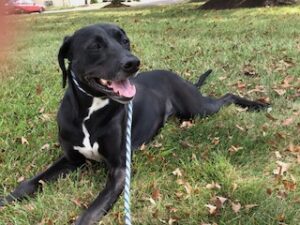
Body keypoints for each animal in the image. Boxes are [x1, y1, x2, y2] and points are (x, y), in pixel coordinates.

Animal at [0, 23, 268, 224]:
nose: (133, 63)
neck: (90, 111)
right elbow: (29, 183)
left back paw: (259, 105)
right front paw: (6, 200)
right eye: (95, 46)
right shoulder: (71, 159)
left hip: (198, 110)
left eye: (125, 41)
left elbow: (90, 212)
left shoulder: (120, 169)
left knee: (228, 97)